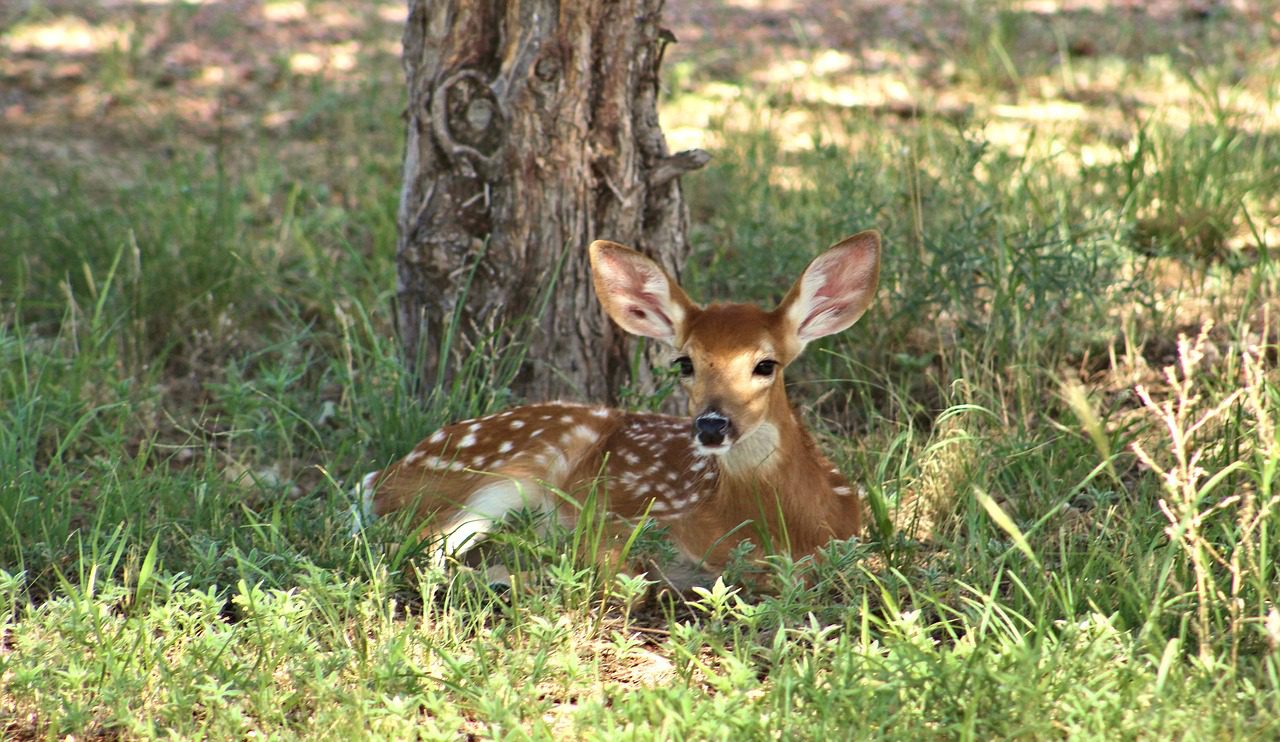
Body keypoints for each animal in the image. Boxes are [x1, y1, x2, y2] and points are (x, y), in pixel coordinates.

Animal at [351, 230, 881, 581]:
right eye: (685, 363)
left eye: (766, 364)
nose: (712, 425)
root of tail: (382, 475)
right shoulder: (635, 518)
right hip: (503, 471)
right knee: (415, 548)